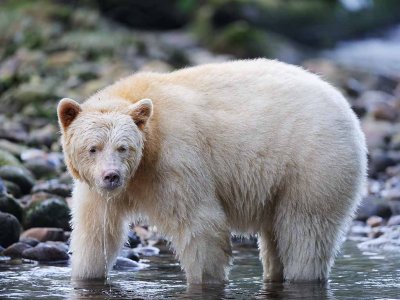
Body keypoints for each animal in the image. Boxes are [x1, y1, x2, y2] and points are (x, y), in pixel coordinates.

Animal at [57, 58, 368, 284]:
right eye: (93, 148)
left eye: (124, 148)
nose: (112, 176)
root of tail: (345, 106)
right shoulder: (97, 190)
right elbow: (95, 232)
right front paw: (86, 275)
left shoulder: (175, 161)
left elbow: (199, 223)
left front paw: (205, 280)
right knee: (276, 236)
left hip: (314, 162)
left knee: (305, 230)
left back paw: (303, 276)